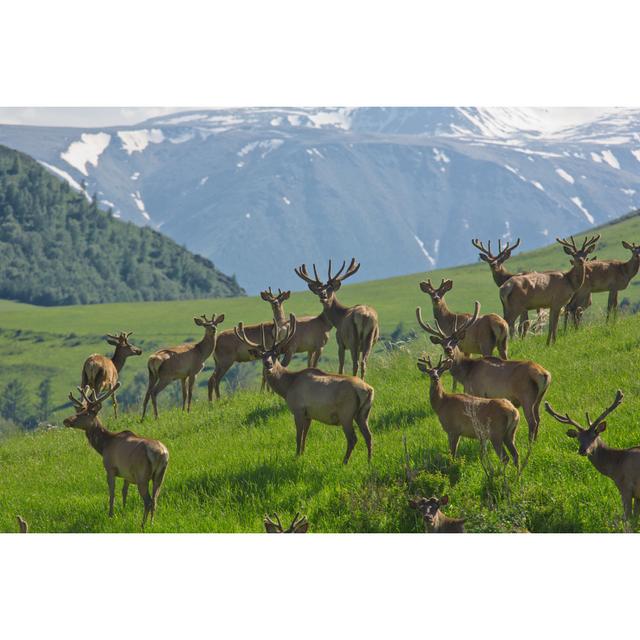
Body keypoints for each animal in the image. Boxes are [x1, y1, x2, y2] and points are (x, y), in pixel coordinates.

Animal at [64, 382, 170, 528]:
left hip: (142, 475)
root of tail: (162, 454)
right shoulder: (127, 475)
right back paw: (152, 523)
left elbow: (112, 492)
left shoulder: (110, 468)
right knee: (155, 499)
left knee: (148, 501)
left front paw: (111, 515)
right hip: (160, 475)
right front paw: (124, 512)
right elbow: (124, 492)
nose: (66, 420)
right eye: (78, 411)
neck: (104, 445)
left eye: (84, 413)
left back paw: (142, 525)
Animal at [234, 316, 376, 464]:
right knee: (369, 436)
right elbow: (305, 436)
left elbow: (298, 435)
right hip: (363, 414)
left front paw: (296, 455)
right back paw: (369, 460)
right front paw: (302, 453)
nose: (268, 364)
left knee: (353, 438)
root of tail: (369, 390)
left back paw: (345, 462)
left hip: (346, 413)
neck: (287, 386)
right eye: (262, 355)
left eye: (275, 354)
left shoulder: (298, 409)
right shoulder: (309, 414)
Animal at [418, 302, 552, 440]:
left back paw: (530, 442)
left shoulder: (477, 391)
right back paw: (535, 440)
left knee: (532, 421)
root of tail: (545, 375)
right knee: (539, 418)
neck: (466, 374)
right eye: (442, 343)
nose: (448, 349)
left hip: (526, 395)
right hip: (539, 397)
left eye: (455, 341)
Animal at [544, 392, 640, 524]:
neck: (616, 466)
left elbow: (628, 519)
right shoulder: (636, 495)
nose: (582, 450)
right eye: (578, 438)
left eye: (594, 436)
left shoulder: (626, 487)